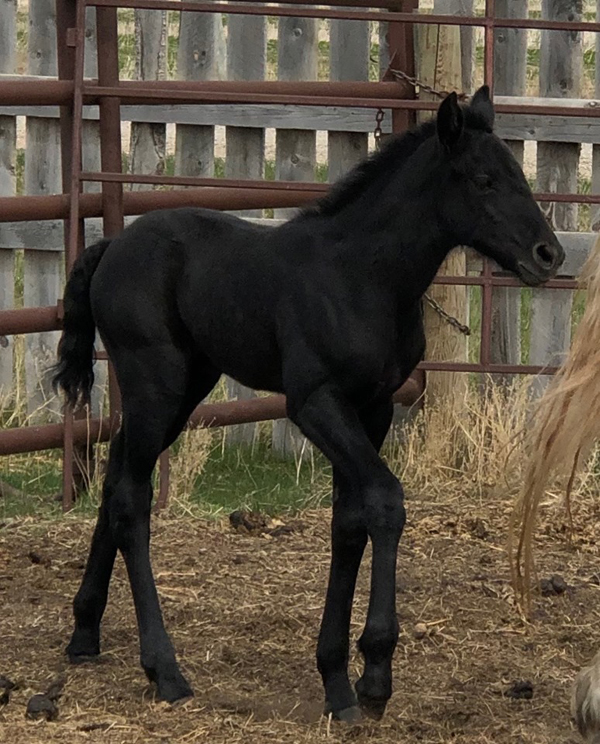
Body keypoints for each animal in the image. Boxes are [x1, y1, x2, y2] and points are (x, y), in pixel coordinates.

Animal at [52, 86, 564, 723]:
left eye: (518, 174)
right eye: (483, 180)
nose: (549, 254)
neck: (362, 277)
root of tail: (111, 246)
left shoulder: (372, 407)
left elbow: (349, 520)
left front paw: (338, 680)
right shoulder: (315, 403)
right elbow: (385, 502)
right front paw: (375, 675)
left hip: (182, 391)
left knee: (117, 478)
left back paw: (84, 632)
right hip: (156, 385)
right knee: (130, 497)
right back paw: (164, 669)